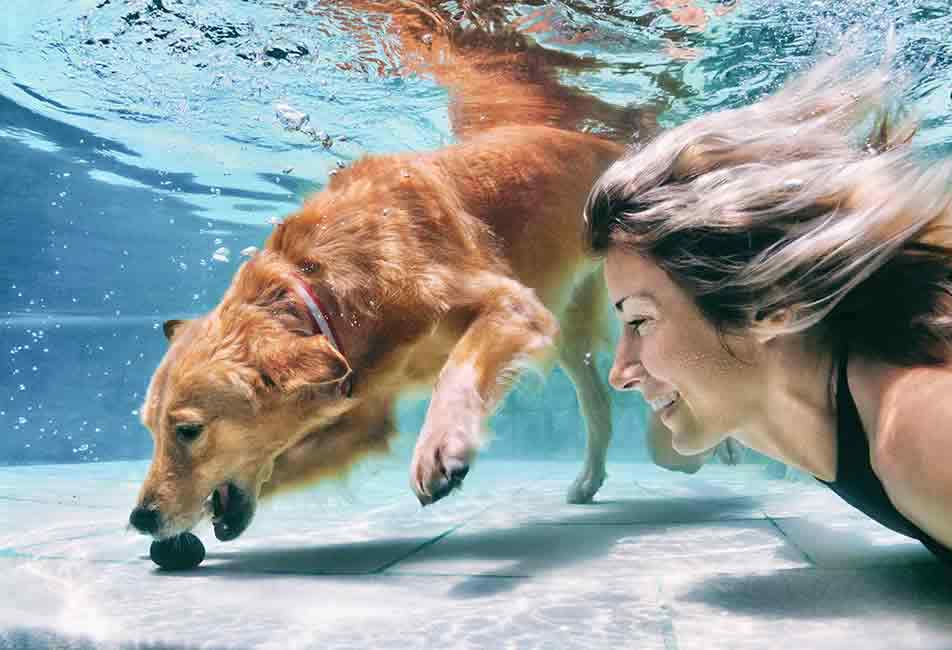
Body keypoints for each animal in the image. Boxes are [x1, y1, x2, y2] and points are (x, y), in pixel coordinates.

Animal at [130, 0, 728, 540]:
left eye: (187, 431)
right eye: (149, 430)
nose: (140, 520)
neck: (324, 287)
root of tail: (608, 140)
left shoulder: (507, 303)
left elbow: (457, 367)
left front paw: (441, 445)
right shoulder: (365, 410)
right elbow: (290, 455)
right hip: (569, 332)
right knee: (599, 405)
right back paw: (594, 480)